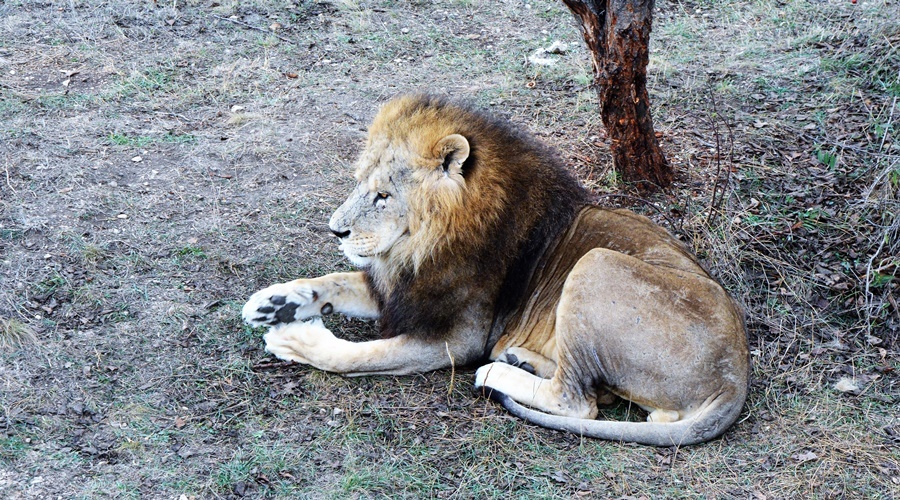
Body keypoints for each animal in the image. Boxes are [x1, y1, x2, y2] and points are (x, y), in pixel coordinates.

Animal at [243, 94, 748, 446]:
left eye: (383, 195)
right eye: (358, 184)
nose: (335, 230)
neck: (422, 246)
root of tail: (736, 374)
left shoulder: (456, 338)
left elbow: (356, 356)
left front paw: (294, 339)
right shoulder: (404, 288)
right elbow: (334, 281)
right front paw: (273, 302)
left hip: (595, 263)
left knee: (579, 402)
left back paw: (496, 374)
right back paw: (520, 358)